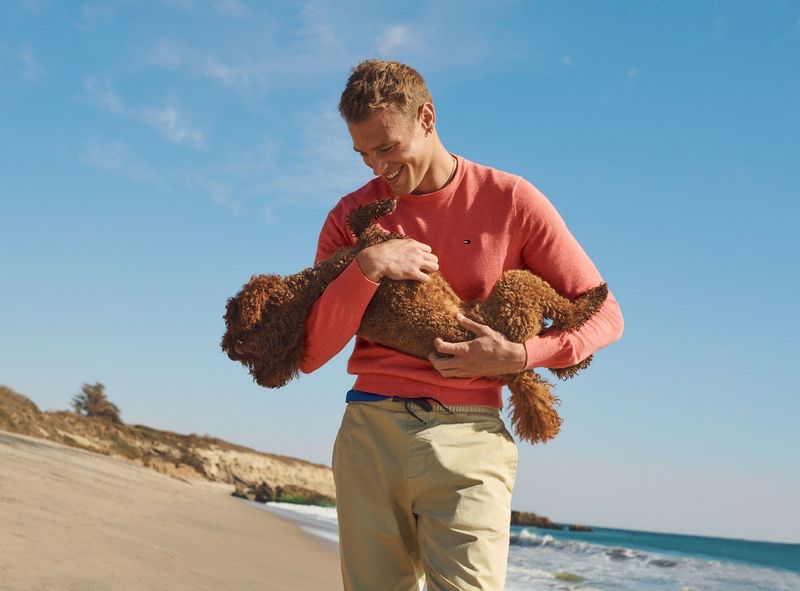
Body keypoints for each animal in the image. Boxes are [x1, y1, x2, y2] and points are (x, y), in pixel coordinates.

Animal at [220, 199, 608, 444]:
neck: (322, 283)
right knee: (564, 314)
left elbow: (355, 220)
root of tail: (512, 373)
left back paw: (574, 359)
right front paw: (387, 203)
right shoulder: (377, 240)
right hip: (517, 289)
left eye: (238, 335)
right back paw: (593, 303)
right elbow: (358, 219)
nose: (227, 350)